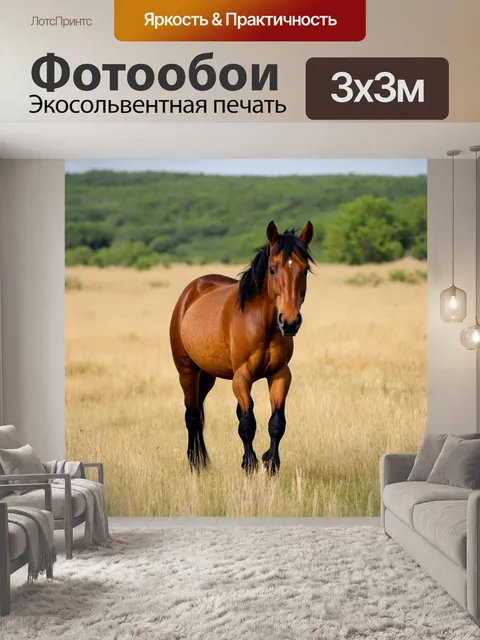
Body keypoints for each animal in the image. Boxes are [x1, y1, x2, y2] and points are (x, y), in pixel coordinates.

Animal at [169, 220, 315, 476]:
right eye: (272, 269)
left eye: (304, 269)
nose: (289, 322)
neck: (262, 325)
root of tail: (191, 291)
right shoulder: (242, 376)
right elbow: (247, 423)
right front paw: (249, 464)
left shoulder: (280, 374)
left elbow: (276, 422)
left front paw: (271, 463)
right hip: (187, 371)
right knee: (192, 415)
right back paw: (195, 464)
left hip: (207, 376)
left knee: (200, 412)